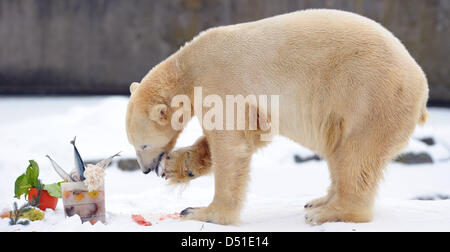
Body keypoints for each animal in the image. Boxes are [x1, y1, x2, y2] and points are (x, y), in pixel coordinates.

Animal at [125, 8, 428, 224]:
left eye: (143, 144)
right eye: (134, 144)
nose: (145, 168)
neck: (187, 66)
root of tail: (421, 82)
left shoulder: (220, 81)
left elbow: (231, 145)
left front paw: (201, 212)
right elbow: (251, 133)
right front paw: (178, 164)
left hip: (369, 98)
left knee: (357, 155)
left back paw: (327, 212)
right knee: (339, 152)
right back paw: (320, 200)